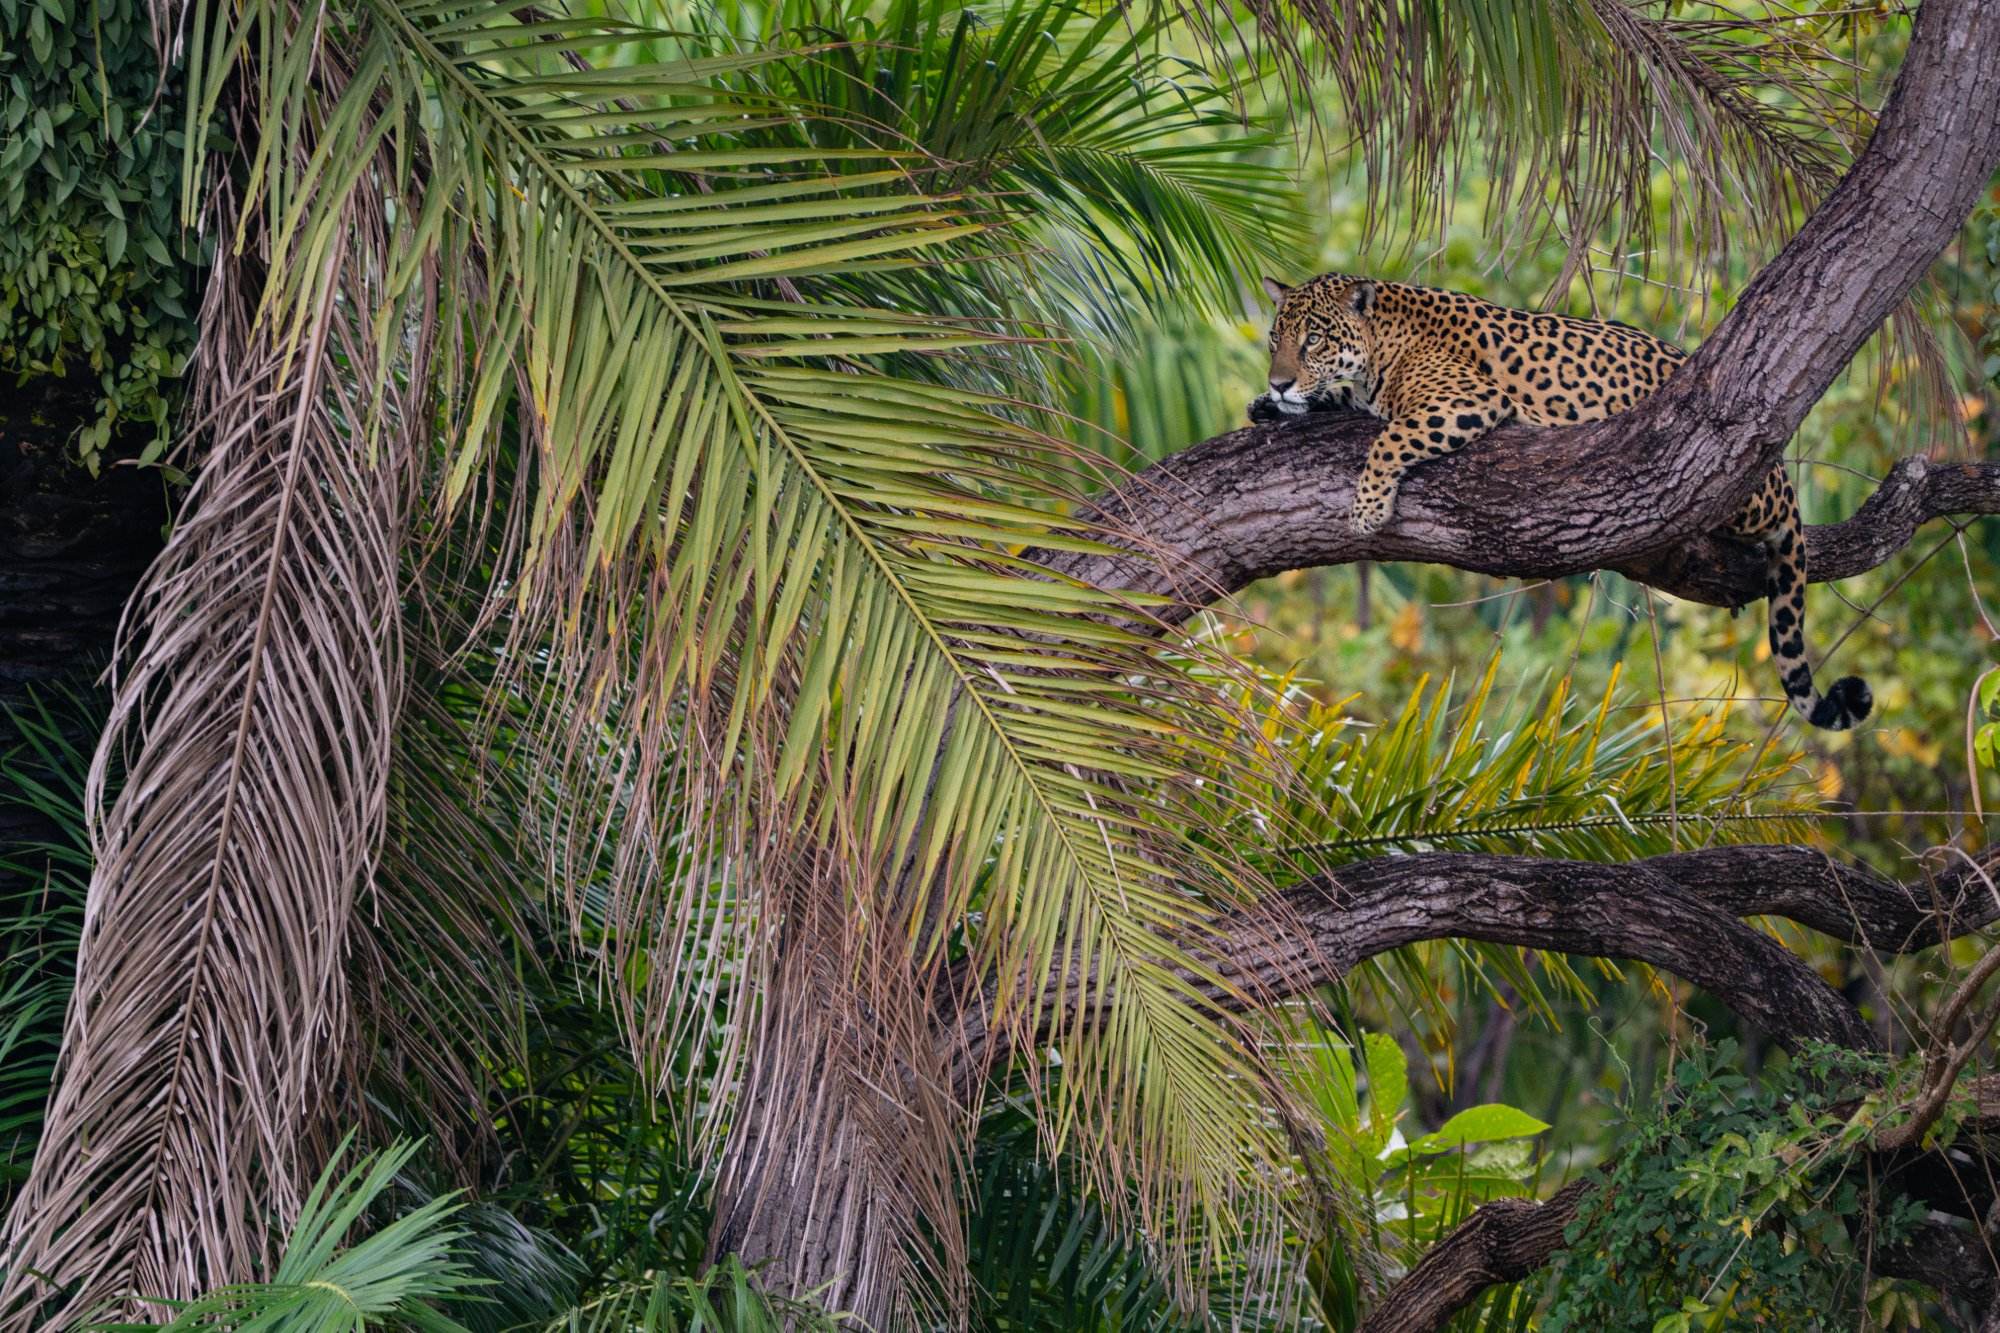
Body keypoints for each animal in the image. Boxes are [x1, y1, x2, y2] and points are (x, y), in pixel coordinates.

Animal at [1248, 272, 1871, 732]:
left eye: (1314, 338)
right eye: (1276, 339)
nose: (1279, 381)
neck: (1383, 344)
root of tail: (1784, 479)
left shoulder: (1464, 401)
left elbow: (1389, 438)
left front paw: (1368, 508)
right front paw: (1270, 404)